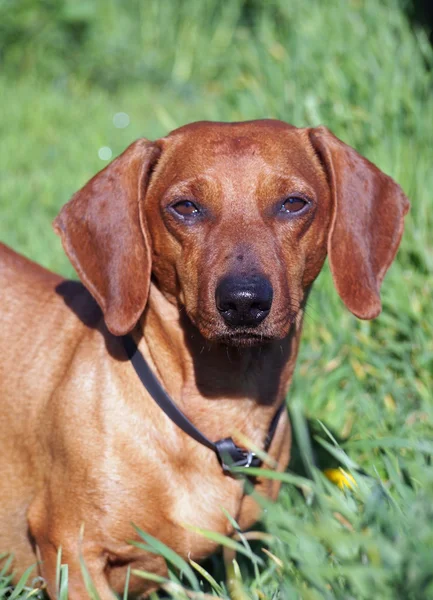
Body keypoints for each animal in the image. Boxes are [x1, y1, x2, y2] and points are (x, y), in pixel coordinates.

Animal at [0, 119, 408, 596]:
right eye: (185, 207)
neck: (223, 411)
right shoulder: (72, 551)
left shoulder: (240, 553)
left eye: (293, 203)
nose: (244, 302)